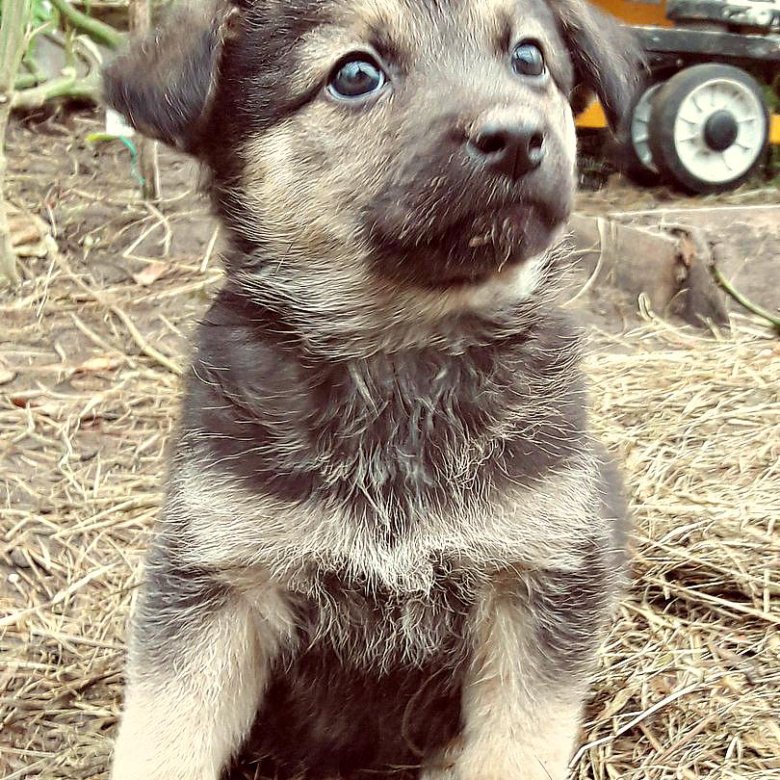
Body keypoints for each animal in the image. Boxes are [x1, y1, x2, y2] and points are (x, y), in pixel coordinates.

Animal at [103, 1, 640, 780]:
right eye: (355, 74)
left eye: (529, 59)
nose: (516, 138)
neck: (402, 359)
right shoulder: (216, 583)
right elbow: (165, 737)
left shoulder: (537, 579)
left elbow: (514, 744)